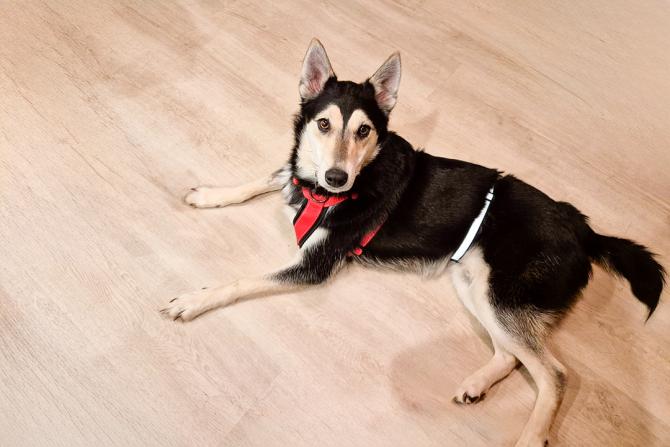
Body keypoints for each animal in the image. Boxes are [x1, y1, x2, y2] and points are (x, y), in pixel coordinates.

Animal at [162, 39, 665, 447]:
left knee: (555, 374)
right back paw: (477, 384)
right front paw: (210, 195)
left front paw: (193, 299)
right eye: (323, 125)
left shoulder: (312, 265)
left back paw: (532, 434)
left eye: (364, 131)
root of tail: (580, 225)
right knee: (512, 355)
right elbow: (266, 178)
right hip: (476, 286)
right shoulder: (297, 178)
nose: (337, 177)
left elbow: (241, 281)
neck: (330, 189)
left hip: (500, 294)